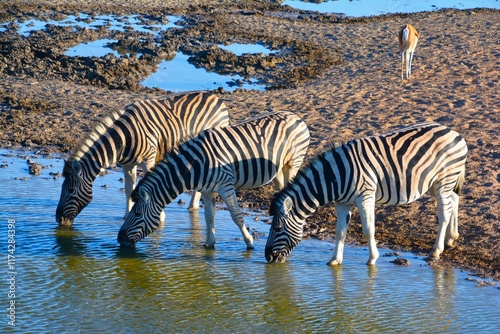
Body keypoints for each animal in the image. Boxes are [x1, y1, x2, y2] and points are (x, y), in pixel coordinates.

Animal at [56, 91, 230, 227]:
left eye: (70, 191)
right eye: (61, 189)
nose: (59, 220)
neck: (123, 139)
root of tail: (216, 98)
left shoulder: (148, 160)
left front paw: (160, 218)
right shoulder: (126, 164)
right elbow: (128, 188)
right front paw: (126, 215)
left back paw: (192, 206)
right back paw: (192, 207)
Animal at [118, 111, 310, 249]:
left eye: (137, 214)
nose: (119, 239)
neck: (195, 165)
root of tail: (295, 116)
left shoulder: (226, 185)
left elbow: (236, 215)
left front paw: (249, 242)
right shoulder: (207, 190)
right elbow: (209, 216)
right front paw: (209, 243)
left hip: (293, 163)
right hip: (278, 169)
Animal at [268, 122, 466, 266]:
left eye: (277, 228)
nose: (267, 257)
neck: (334, 177)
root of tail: (453, 132)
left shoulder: (366, 197)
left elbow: (369, 229)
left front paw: (372, 259)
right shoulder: (342, 203)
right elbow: (340, 231)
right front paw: (334, 261)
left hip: (443, 181)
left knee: (444, 213)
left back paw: (436, 250)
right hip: (435, 183)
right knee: (454, 200)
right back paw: (451, 238)